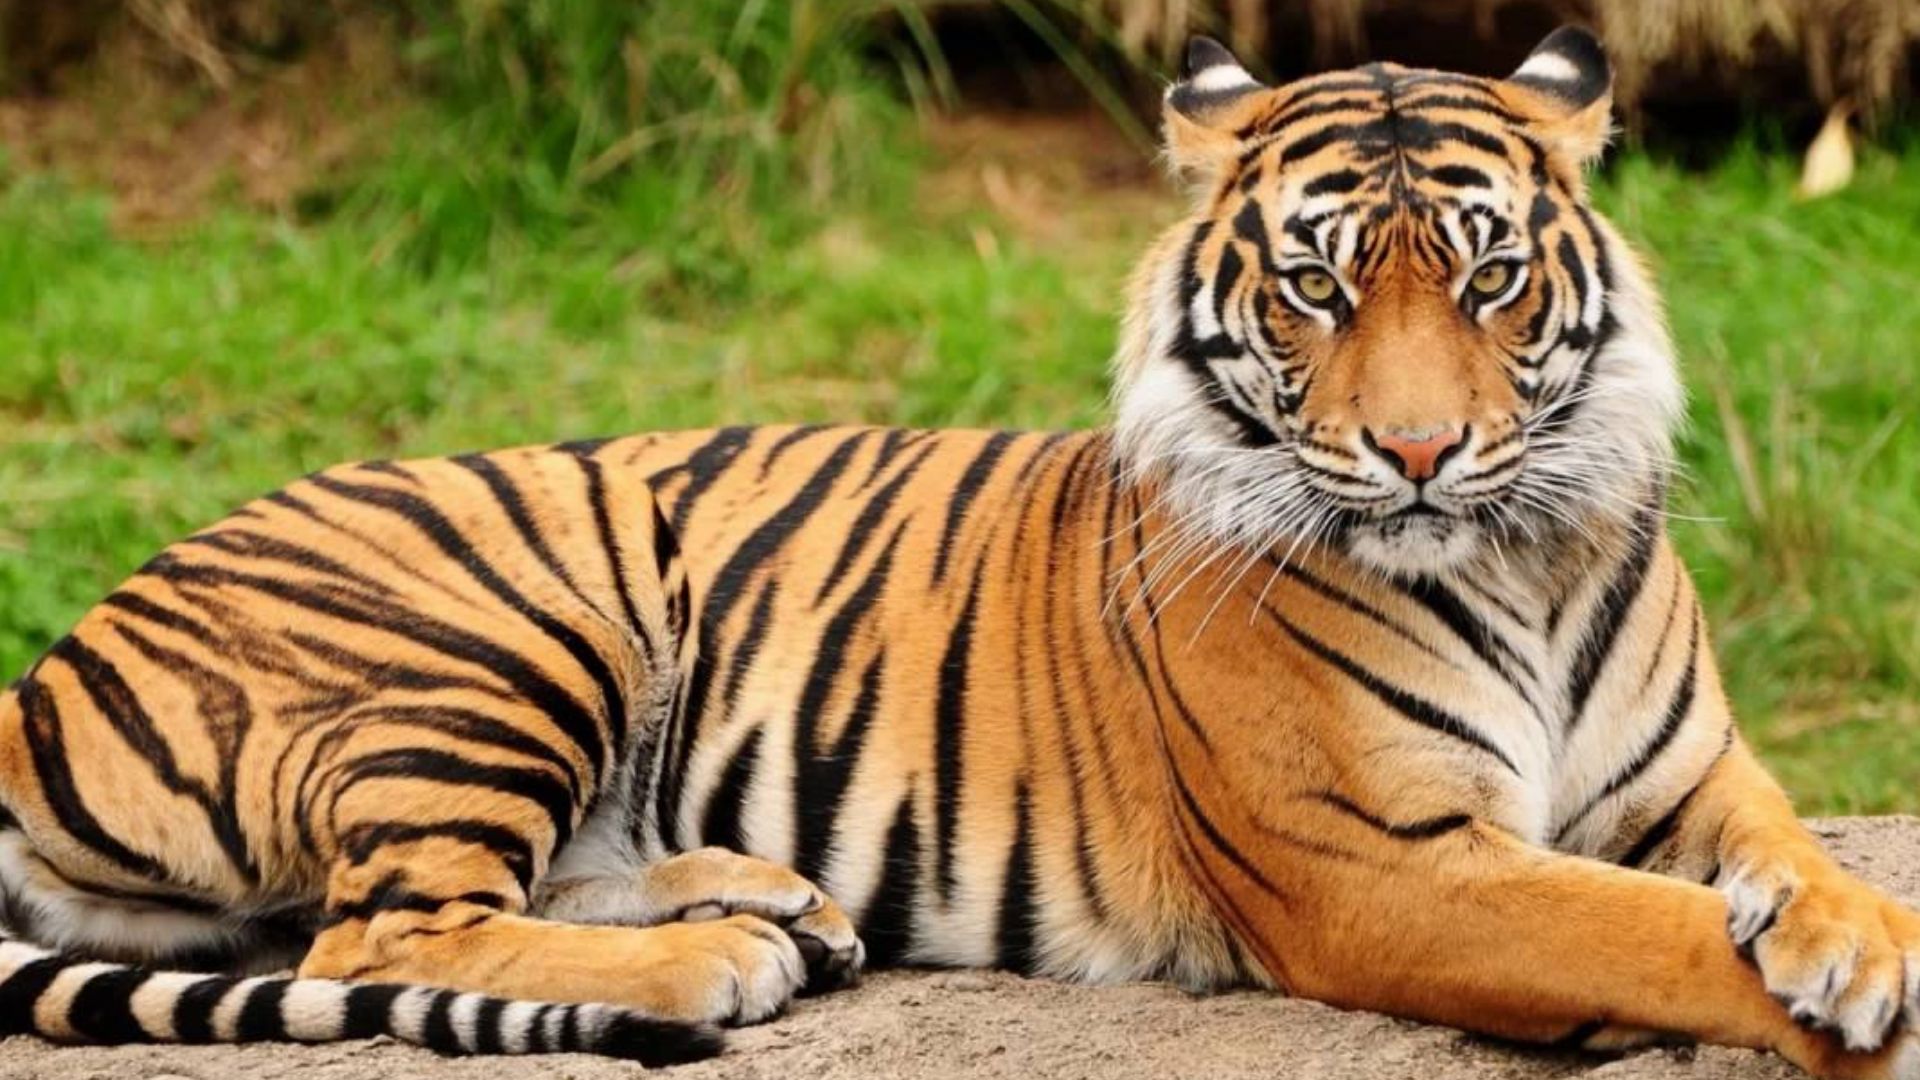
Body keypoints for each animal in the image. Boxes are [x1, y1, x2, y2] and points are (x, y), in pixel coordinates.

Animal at [0, 24, 1914, 1077]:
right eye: (1316, 288)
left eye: (1491, 276)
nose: (1422, 452)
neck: (1520, 552)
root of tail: (37, 679)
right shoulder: (1390, 866)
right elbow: (1654, 939)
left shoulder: (1693, 776)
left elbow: (1789, 864)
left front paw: (1855, 943)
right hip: (514, 621)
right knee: (378, 934)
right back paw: (715, 958)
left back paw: (769, 901)